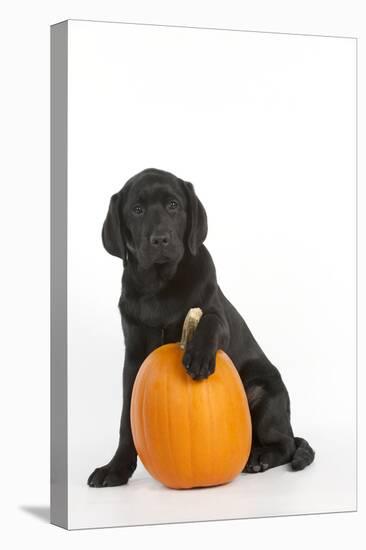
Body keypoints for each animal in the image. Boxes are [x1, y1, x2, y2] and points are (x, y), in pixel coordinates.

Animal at [87, 168, 314, 488]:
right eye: (137, 210)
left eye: (173, 205)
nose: (160, 239)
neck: (160, 285)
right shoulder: (133, 358)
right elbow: (125, 422)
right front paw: (116, 469)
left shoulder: (216, 313)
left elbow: (211, 321)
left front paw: (198, 357)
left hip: (265, 393)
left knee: (286, 444)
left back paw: (259, 457)